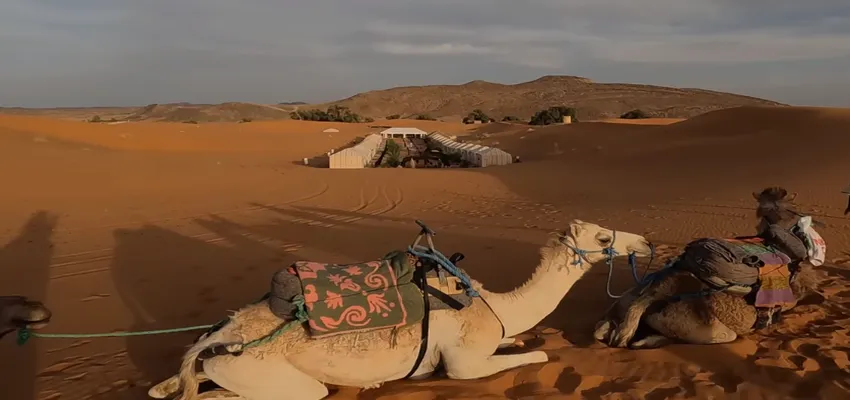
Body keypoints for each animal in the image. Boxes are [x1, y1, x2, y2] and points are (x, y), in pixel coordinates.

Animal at [150, 220, 652, 400]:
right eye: (603, 237)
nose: (645, 242)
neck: (494, 305)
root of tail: (223, 333)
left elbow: (521, 340)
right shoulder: (464, 362)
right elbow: (539, 355)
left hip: (223, 363)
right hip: (274, 379)